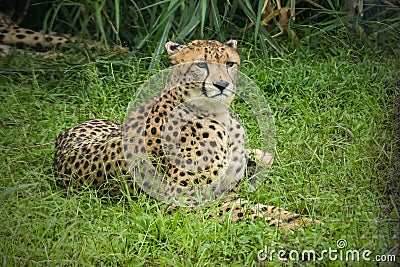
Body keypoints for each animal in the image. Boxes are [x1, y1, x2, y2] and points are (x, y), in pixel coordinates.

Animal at [54, 40, 320, 230]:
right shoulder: (185, 203)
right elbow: (251, 211)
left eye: (229, 64)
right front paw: (302, 223)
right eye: (201, 64)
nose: (222, 85)